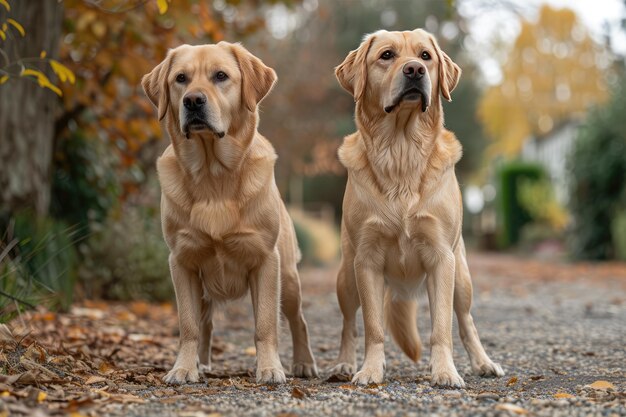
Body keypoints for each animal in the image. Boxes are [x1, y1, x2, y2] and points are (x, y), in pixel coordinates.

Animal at [142, 42, 316, 384]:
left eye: (220, 76)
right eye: (180, 79)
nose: (193, 101)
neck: (213, 175)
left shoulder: (266, 261)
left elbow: (265, 324)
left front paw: (270, 369)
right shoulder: (182, 262)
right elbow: (188, 326)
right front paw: (183, 368)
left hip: (288, 278)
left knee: (297, 320)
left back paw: (304, 363)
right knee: (205, 323)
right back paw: (201, 363)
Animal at [332, 29, 502, 386]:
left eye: (426, 56)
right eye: (386, 55)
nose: (414, 71)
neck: (401, 152)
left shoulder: (441, 259)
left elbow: (442, 329)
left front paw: (445, 372)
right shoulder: (366, 261)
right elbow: (373, 328)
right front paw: (370, 370)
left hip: (462, 279)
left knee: (466, 322)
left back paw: (483, 362)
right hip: (346, 277)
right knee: (349, 324)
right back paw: (343, 364)